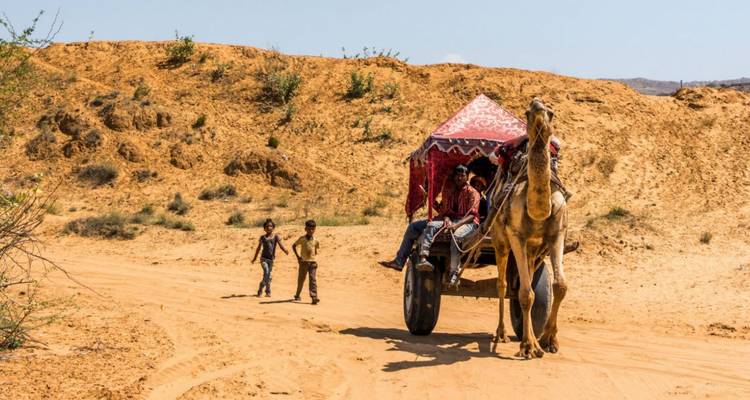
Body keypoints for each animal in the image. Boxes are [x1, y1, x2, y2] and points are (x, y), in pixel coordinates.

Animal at [488, 98, 568, 359]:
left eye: (551, 112)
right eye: (526, 112)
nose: (537, 107)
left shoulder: (557, 234)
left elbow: (559, 286)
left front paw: (549, 340)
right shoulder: (516, 236)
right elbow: (524, 294)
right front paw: (528, 346)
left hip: (536, 251)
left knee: (530, 281)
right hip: (500, 240)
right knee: (503, 285)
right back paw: (501, 334)